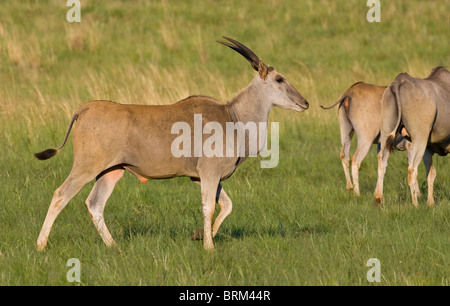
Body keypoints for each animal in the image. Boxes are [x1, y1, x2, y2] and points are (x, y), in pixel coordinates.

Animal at [35, 37, 310, 251]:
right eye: (279, 79)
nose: (305, 102)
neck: (233, 117)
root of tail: (85, 108)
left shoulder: (203, 177)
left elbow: (226, 205)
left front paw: (199, 235)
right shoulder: (209, 174)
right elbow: (209, 207)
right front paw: (208, 246)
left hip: (111, 171)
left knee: (95, 204)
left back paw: (114, 246)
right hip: (87, 167)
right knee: (60, 195)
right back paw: (40, 245)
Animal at [374, 65, 450, 207]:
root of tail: (398, 82)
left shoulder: (428, 150)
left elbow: (431, 174)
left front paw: (430, 203)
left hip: (387, 134)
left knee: (382, 161)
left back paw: (379, 199)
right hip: (419, 139)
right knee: (412, 169)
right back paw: (415, 204)